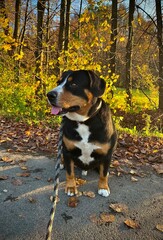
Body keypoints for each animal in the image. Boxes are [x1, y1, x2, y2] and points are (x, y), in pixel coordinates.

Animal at [47, 70, 117, 198]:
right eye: (58, 83)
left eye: (73, 84)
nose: (49, 95)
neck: (83, 121)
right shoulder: (68, 152)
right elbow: (70, 173)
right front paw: (71, 187)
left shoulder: (107, 154)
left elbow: (103, 174)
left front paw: (103, 187)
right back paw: (61, 163)